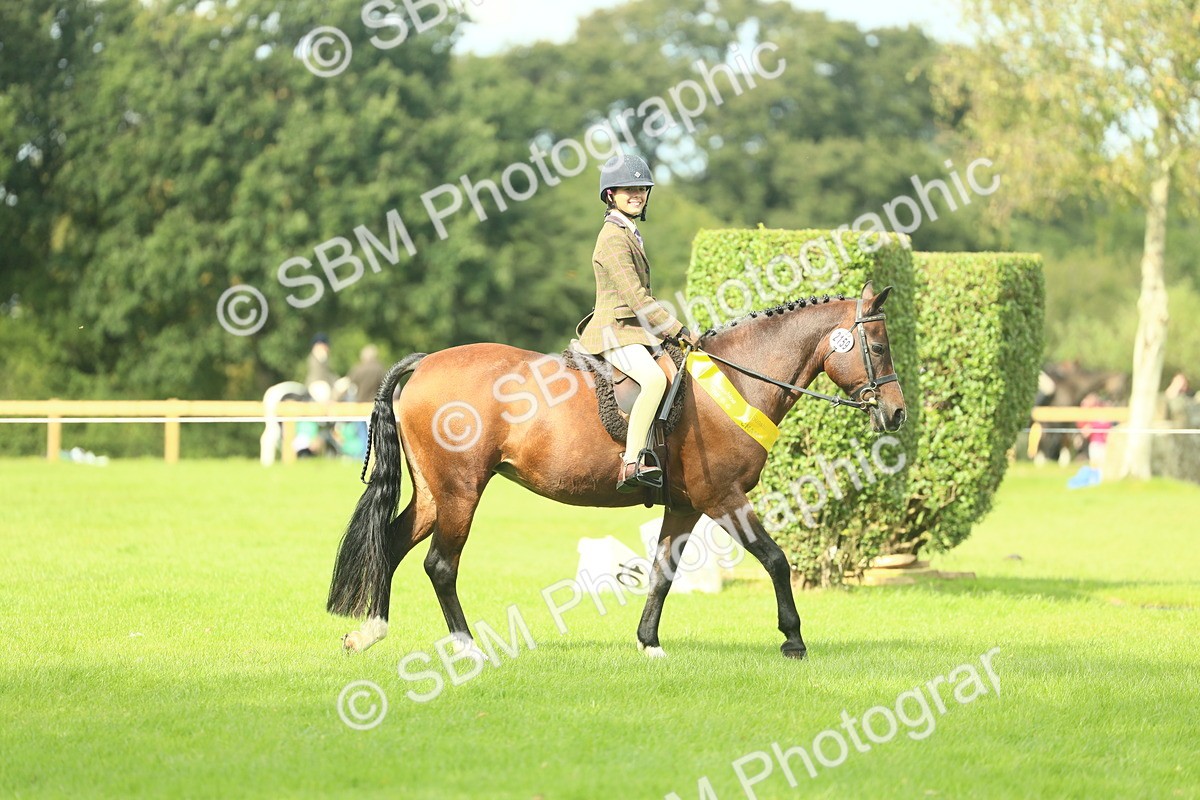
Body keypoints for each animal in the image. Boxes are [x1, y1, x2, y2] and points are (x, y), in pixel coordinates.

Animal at [326, 282, 907, 659]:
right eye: (879, 346)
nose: (897, 413)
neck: (735, 381)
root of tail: (423, 362)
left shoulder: (685, 505)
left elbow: (662, 574)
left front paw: (648, 643)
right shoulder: (724, 498)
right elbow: (776, 559)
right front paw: (793, 639)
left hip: (433, 494)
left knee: (390, 544)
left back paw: (369, 633)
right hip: (460, 492)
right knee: (440, 565)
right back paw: (466, 646)